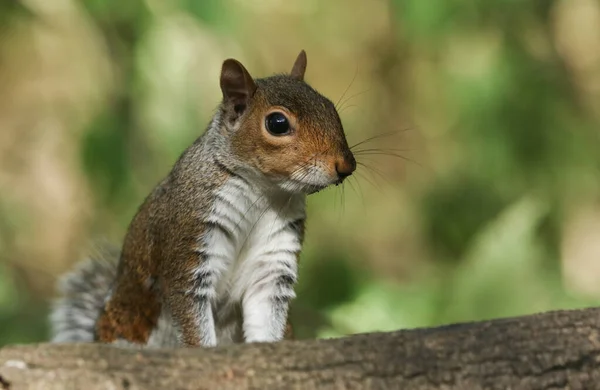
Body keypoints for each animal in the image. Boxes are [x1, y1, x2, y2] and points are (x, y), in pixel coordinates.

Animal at [49, 51, 356, 348]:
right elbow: (193, 322)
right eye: (277, 123)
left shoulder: (272, 262)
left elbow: (266, 317)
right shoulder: (189, 243)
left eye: (330, 107)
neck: (263, 193)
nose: (346, 165)